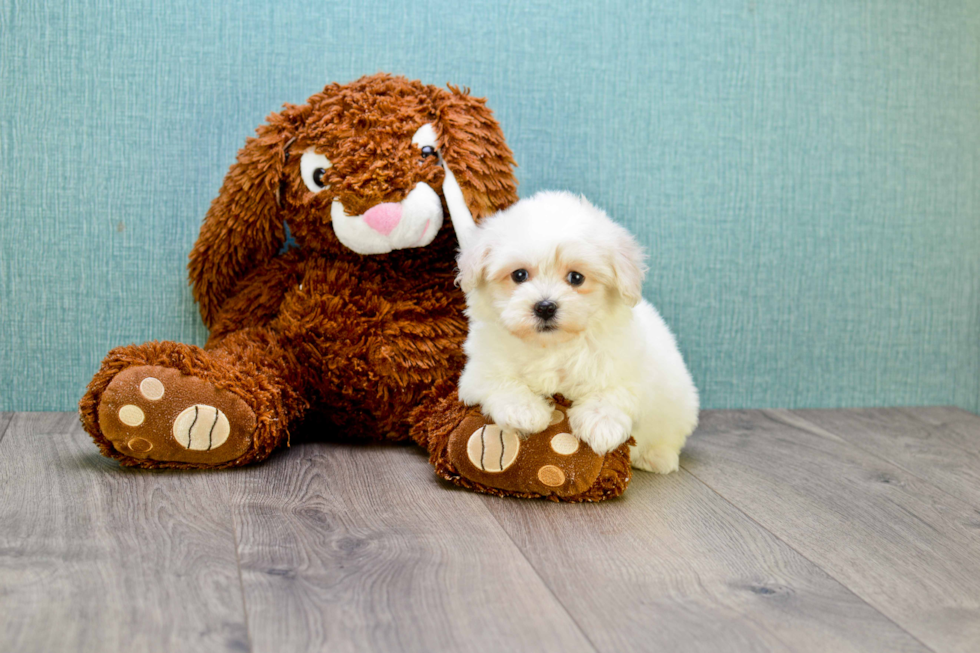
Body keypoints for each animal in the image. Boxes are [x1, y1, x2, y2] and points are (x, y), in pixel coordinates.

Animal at [456, 191, 700, 472]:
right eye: (519, 275)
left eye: (576, 278)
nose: (545, 307)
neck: (552, 346)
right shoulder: (479, 370)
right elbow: (501, 381)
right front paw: (524, 411)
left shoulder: (627, 369)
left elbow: (613, 391)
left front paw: (601, 426)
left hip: (680, 403)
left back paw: (657, 457)